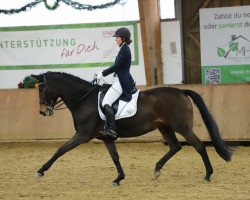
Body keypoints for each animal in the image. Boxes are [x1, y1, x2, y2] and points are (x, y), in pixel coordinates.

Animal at [31, 72, 232, 186]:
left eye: (42, 89)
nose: (42, 112)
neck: (85, 99)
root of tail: (181, 91)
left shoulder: (82, 135)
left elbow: (60, 150)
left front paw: (41, 170)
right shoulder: (107, 137)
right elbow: (115, 157)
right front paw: (119, 178)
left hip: (182, 127)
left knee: (199, 146)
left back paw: (208, 175)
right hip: (165, 127)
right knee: (175, 147)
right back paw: (157, 170)